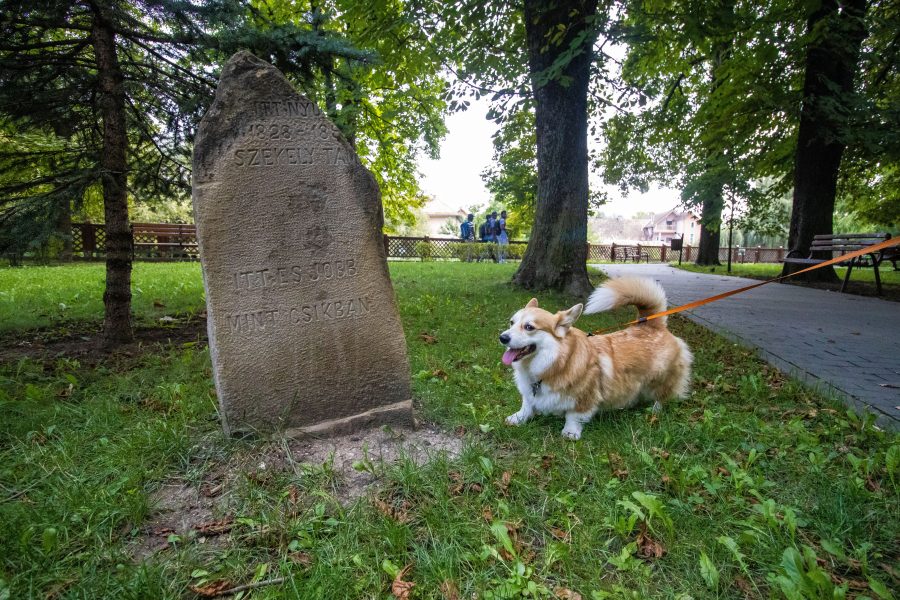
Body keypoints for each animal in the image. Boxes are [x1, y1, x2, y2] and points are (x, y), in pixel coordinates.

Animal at [496, 278, 692, 440]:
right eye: (512, 323)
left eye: (529, 327)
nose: (502, 337)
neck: (554, 363)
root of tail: (652, 325)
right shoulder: (529, 394)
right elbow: (527, 406)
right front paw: (518, 418)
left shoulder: (584, 398)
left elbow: (574, 416)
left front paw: (570, 432)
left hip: (661, 378)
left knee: (662, 395)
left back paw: (655, 410)